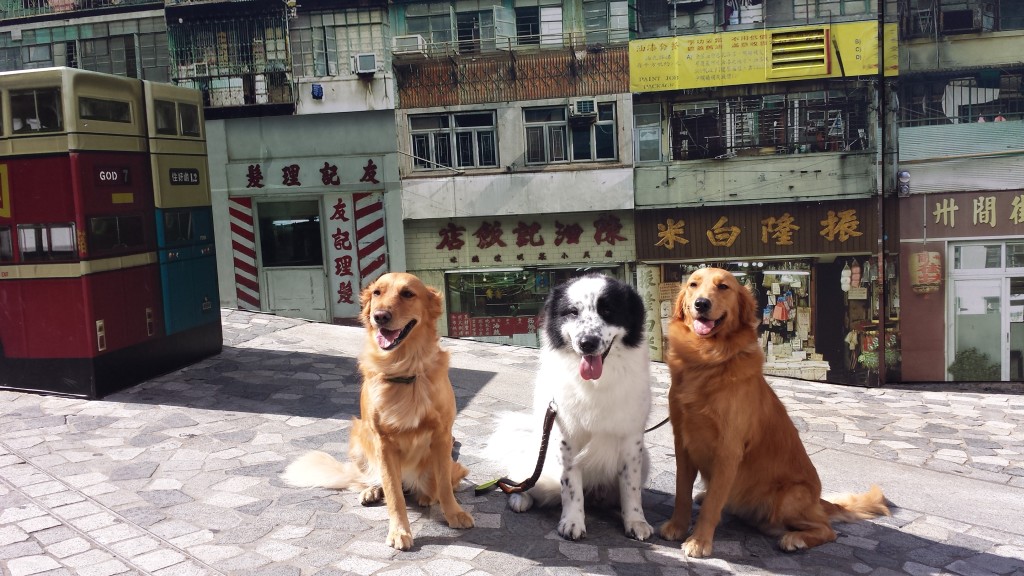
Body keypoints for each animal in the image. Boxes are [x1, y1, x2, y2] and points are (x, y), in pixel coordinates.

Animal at [284, 270, 475, 549]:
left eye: (407, 293)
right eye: (377, 293)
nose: (380, 316)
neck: (404, 369)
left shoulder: (442, 435)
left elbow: (444, 486)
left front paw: (454, 513)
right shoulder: (383, 442)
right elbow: (394, 494)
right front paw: (399, 531)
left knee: (439, 483)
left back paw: (427, 496)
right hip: (359, 436)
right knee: (373, 480)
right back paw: (371, 490)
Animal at [489, 272, 655, 537]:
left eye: (608, 310)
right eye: (572, 312)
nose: (587, 342)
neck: (596, 383)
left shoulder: (631, 441)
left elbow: (631, 489)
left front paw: (636, 521)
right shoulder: (565, 437)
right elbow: (571, 486)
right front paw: (573, 521)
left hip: (645, 460)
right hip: (540, 464)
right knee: (523, 481)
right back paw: (519, 498)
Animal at [655, 266, 888, 553]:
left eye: (723, 287)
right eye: (693, 285)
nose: (701, 304)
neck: (706, 361)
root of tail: (819, 502)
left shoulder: (728, 450)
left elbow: (712, 506)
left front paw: (699, 541)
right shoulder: (683, 442)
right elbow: (681, 492)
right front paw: (677, 526)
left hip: (788, 498)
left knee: (827, 530)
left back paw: (795, 538)